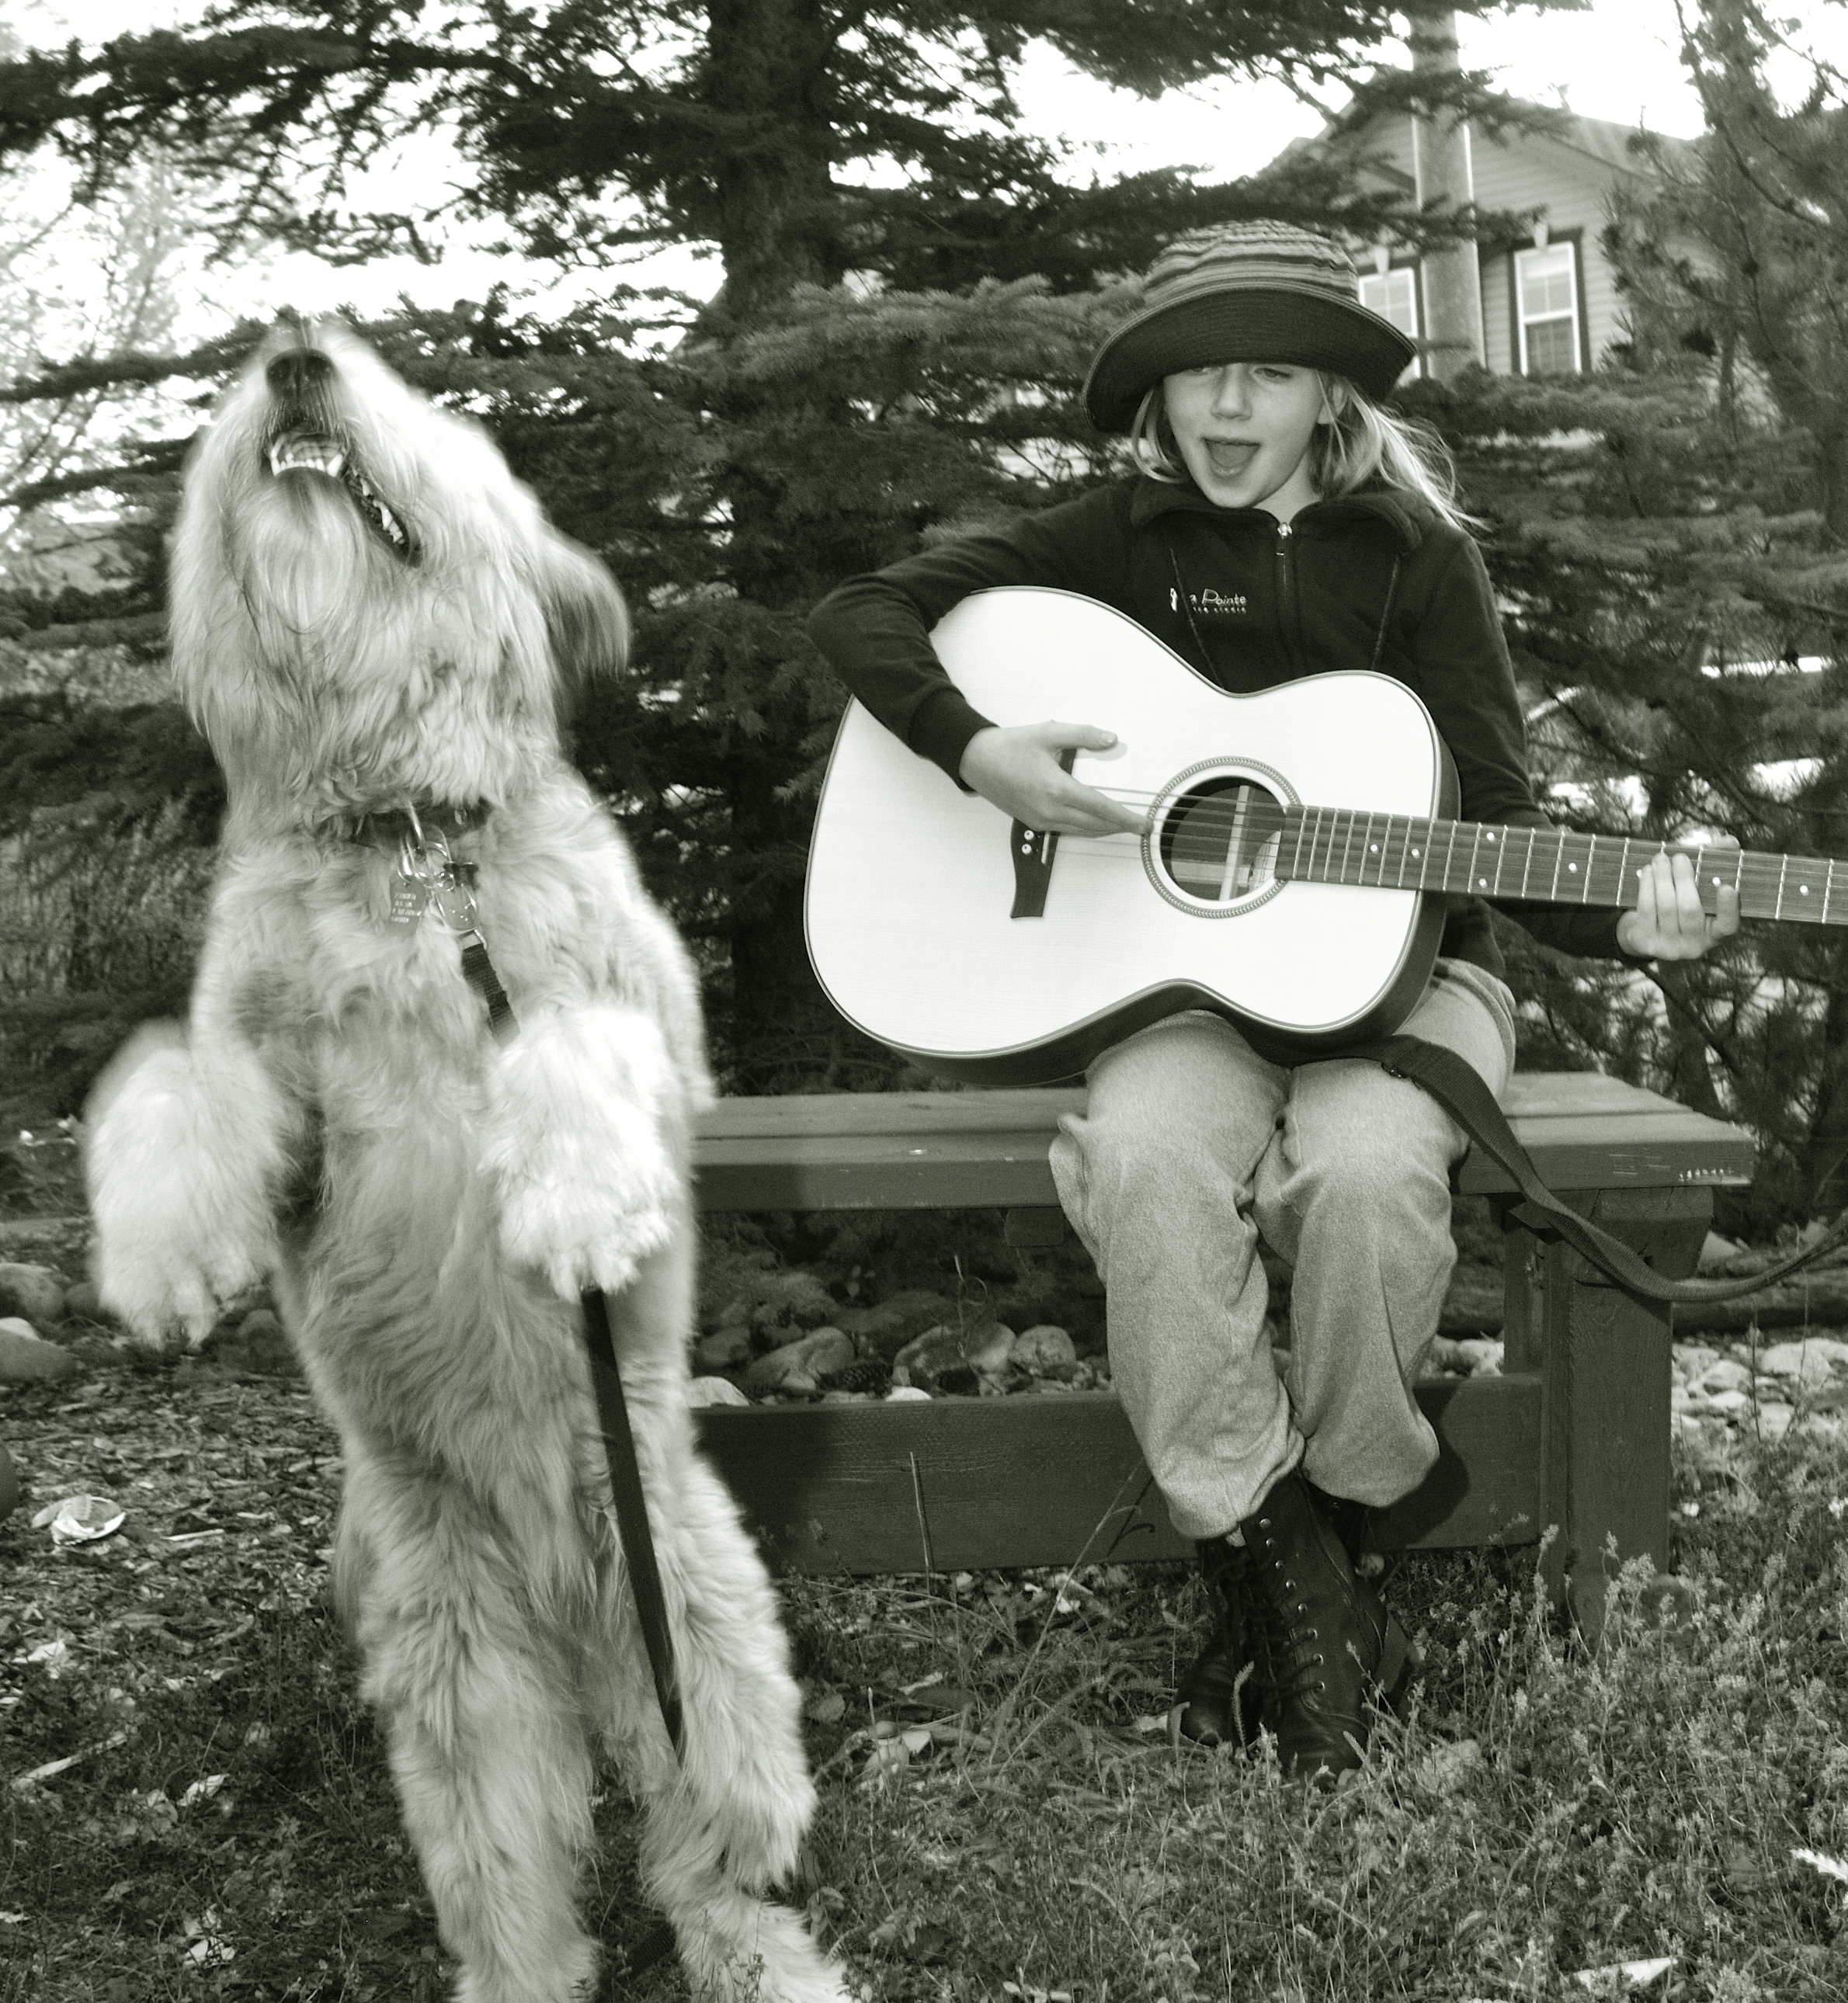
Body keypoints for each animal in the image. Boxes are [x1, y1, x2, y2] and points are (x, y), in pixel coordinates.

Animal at [85, 320, 849, 1994]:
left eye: (413, 394)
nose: (292, 352)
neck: (407, 834)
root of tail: (562, 1591)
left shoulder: (645, 1034)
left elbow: (573, 1052)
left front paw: (572, 1210)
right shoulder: (278, 1086)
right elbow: (177, 1079)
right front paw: (164, 1255)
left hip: (690, 1602)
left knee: (718, 1844)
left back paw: (766, 1951)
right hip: (456, 1662)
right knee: (517, 1878)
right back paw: (521, 1974)